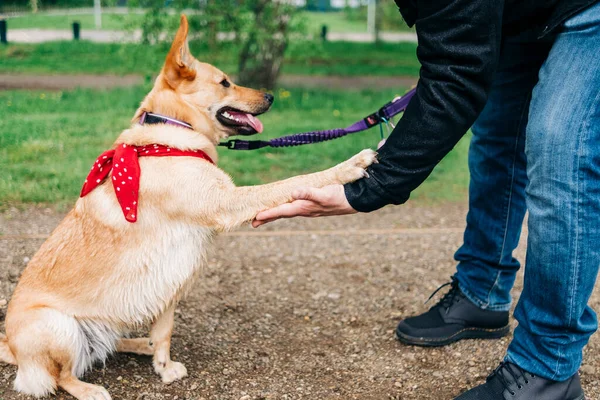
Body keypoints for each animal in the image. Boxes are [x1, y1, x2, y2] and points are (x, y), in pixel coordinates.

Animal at [0, 14, 376, 398]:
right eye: (225, 82)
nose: (270, 96)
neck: (172, 132)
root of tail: (9, 345)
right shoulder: (226, 203)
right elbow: (292, 182)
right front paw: (348, 166)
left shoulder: (170, 281)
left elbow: (165, 331)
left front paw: (163, 368)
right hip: (56, 327)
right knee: (61, 375)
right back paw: (89, 388)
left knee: (106, 347)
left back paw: (140, 344)